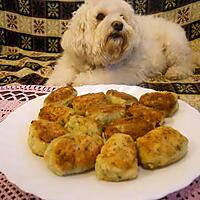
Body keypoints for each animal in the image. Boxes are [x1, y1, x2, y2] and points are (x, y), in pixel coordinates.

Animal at [46, 0, 193, 85]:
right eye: (100, 16)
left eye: (122, 16)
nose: (118, 24)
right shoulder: (69, 60)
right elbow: (62, 72)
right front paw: (55, 82)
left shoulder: (125, 72)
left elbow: (99, 77)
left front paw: (81, 79)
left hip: (174, 45)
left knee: (186, 64)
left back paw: (175, 72)